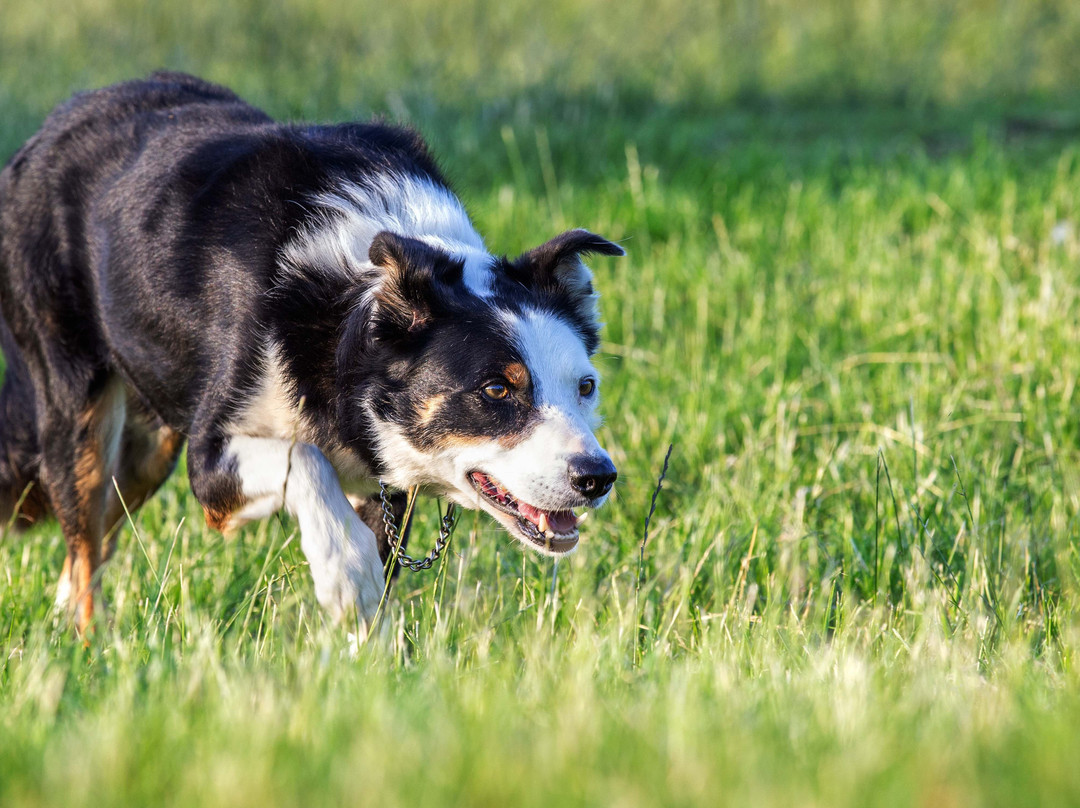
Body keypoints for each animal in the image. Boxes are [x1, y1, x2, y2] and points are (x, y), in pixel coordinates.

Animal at [0, 72, 626, 635]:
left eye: (586, 387)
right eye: (496, 389)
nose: (597, 477)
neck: (340, 312)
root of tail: (51, 127)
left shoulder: (385, 486)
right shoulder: (210, 461)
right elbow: (305, 459)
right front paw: (344, 574)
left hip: (146, 443)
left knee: (88, 548)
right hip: (81, 413)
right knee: (84, 547)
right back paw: (93, 646)